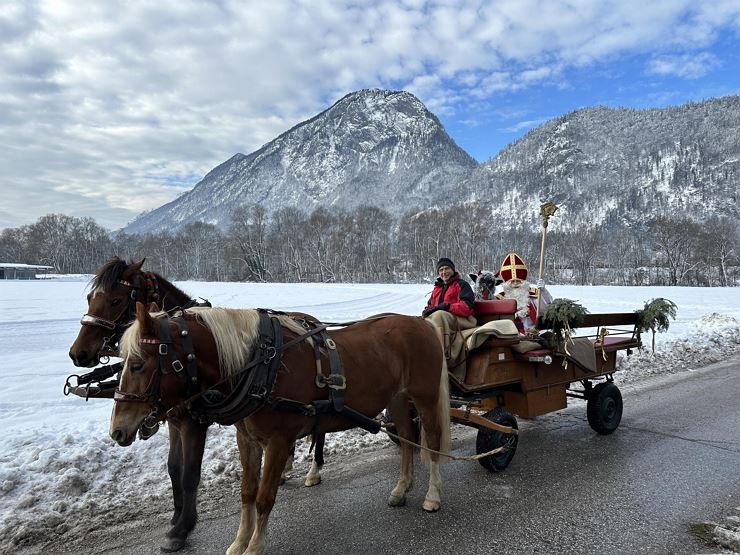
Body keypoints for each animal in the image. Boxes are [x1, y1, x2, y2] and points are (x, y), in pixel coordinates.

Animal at [111, 306, 450, 552]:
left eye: (139, 364)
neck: (259, 365)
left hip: (425, 397)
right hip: (397, 399)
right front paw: (238, 543)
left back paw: (432, 495)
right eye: (122, 363)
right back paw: (401, 488)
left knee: (431, 442)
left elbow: (264, 498)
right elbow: (247, 493)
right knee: (406, 438)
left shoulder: (278, 441)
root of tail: (422, 323)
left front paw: (254, 547)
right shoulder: (247, 439)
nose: (117, 430)